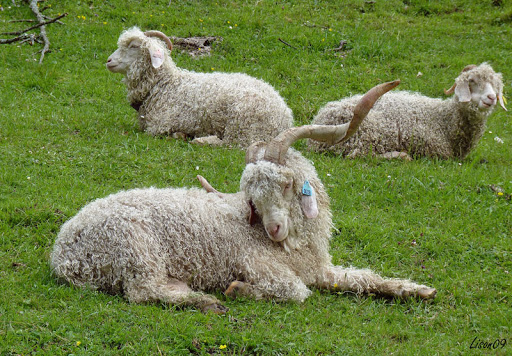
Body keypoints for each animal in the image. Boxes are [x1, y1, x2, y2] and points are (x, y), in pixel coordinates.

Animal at [49, 81, 436, 314]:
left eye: (286, 184)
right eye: (252, 198)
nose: (274, 229)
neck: (293, 247)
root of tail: (64, 255)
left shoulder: (319, 268)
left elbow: (363, 278)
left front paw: (417, 290)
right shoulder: (257, 263)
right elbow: (296, 291)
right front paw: (237, 290)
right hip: (136, 248)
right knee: (142, 291)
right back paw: (204, 301)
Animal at [106, 26, 294, 147]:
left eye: (134, 46)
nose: (108, 61)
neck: (163, 86)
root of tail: (285, 116)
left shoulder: (159, 126)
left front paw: (181, 135)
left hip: (244, 123)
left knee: (233, 143)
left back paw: (201, 140)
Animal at [310, 63, 506, 159]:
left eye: (496, 84)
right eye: (472, 81)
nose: (491, 98)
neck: (444, 118)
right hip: (368, 131)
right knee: (358, 155)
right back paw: (401, 155)